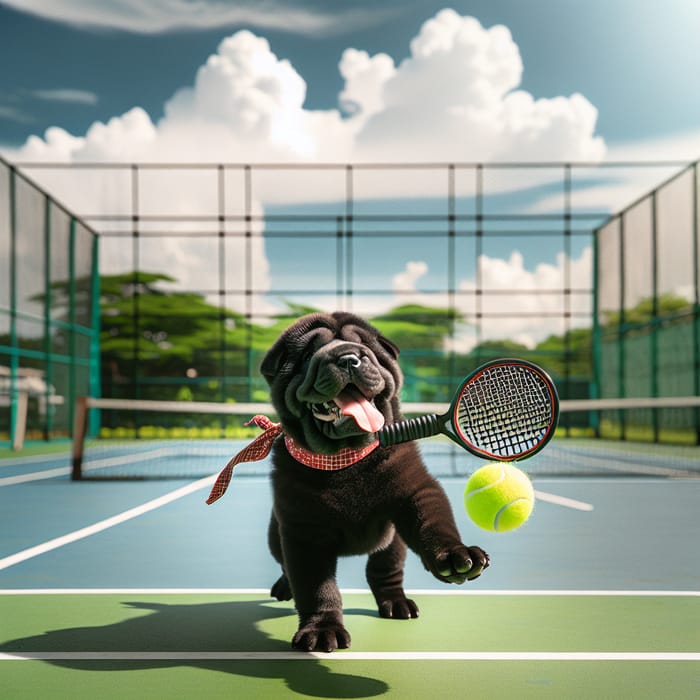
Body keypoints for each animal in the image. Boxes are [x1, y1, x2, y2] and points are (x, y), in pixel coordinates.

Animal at [260, 312, 490, 652]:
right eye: (308, 354)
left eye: (366, 347)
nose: (348, 358)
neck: (345, 460)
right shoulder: (303, 531)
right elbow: (316, 588)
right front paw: (322, 630)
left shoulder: (414, 489)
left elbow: (434, 523)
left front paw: (455, 556)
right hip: (276, 536)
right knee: (286, 565)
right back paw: (283, 586)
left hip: (392, 544)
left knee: (384, 572)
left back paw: (397, 603)